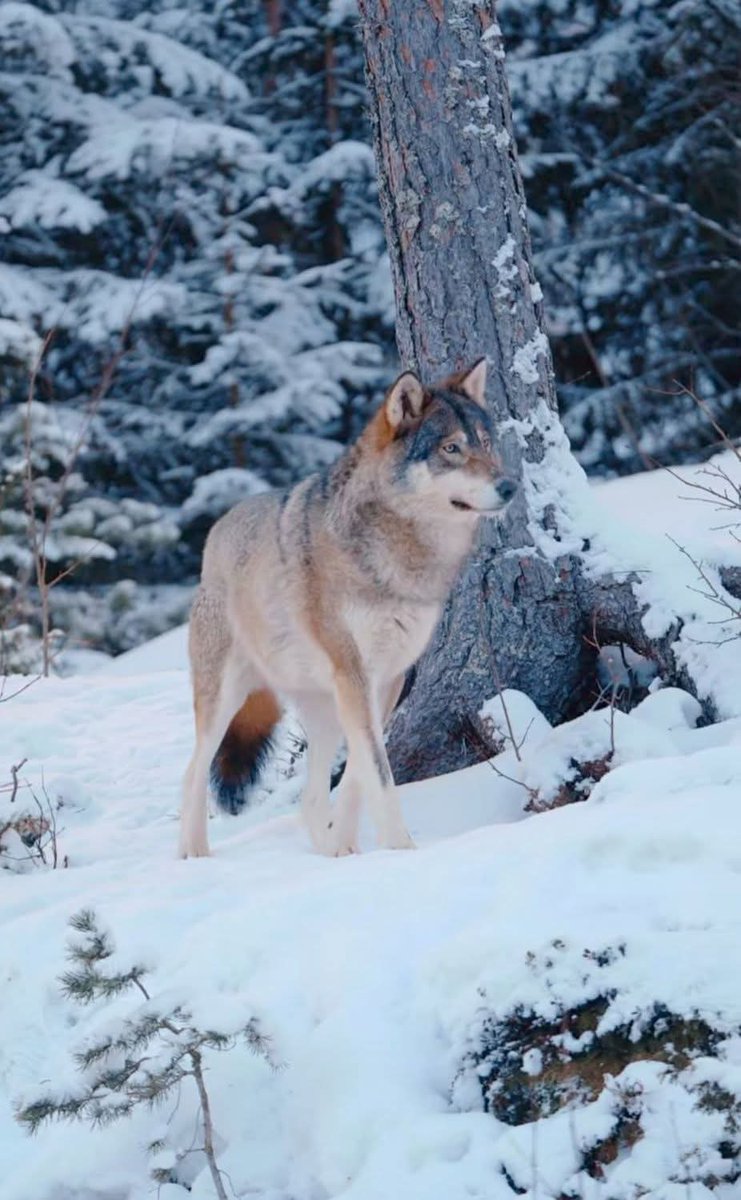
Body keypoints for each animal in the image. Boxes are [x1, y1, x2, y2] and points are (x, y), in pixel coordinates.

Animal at [179, 358, 515, 859]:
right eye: (452, 448)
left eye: (486, 444)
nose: (510, 486)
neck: (399, 556)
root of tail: (217, 529)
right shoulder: (354, 673)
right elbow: (378, 771)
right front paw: (402, 850)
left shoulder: (387, 679)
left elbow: (360, 771)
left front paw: (347, 850)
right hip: (225, 698)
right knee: (193, 772)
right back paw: (193, 853)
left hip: (320, 712)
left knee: (310, 797)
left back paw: (323, 849)